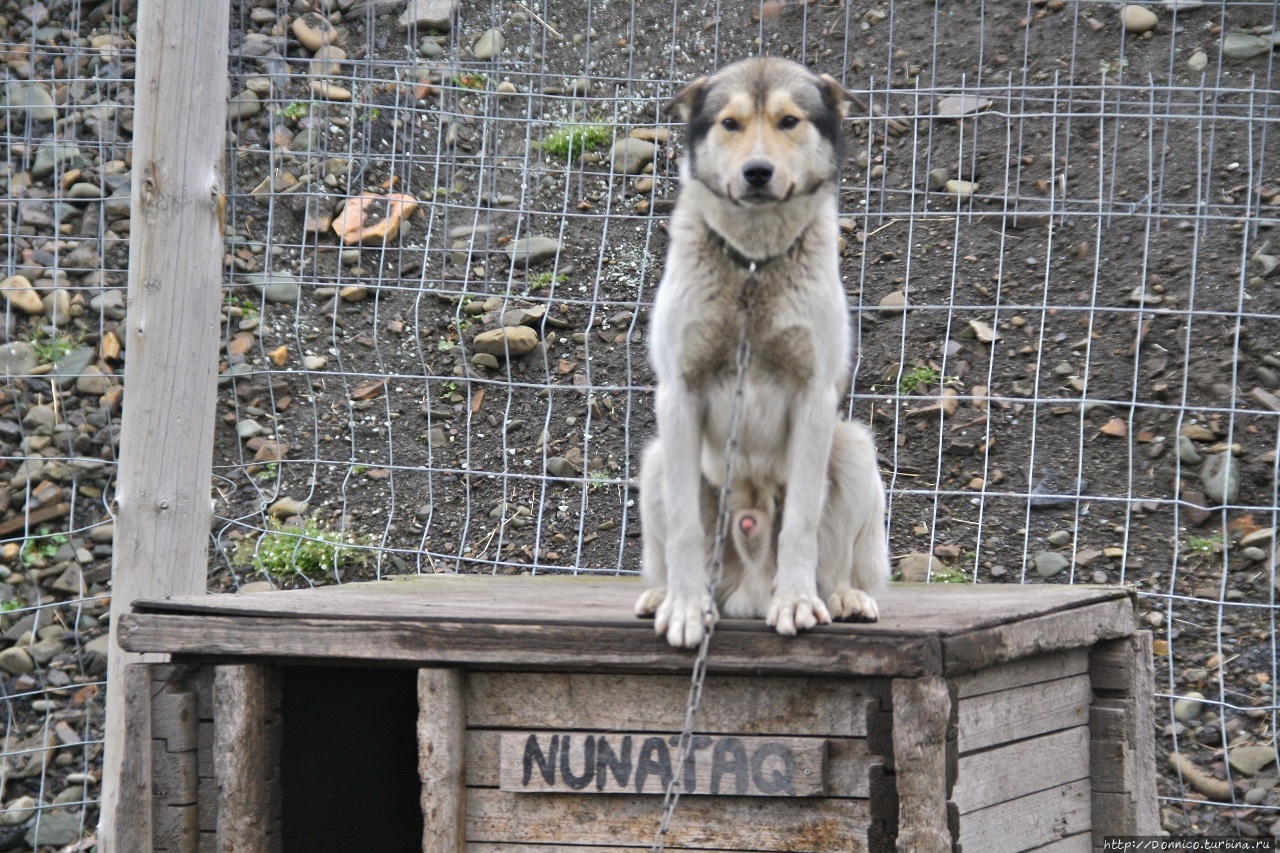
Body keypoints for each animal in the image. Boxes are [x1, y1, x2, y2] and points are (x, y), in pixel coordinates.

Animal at [632, 58, 890, 645]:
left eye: (789, 121)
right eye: (730, 123)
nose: (756, 172)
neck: (752, 265)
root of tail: (746, 590)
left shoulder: (813, 397)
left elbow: (800, 522)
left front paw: (795, 601)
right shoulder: (678, 394)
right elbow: (683, 527)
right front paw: (685, 608)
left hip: (852, 448)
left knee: (836, 563)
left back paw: (840, 597)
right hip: (656, 460)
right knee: (669, 550)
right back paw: (665, 594)